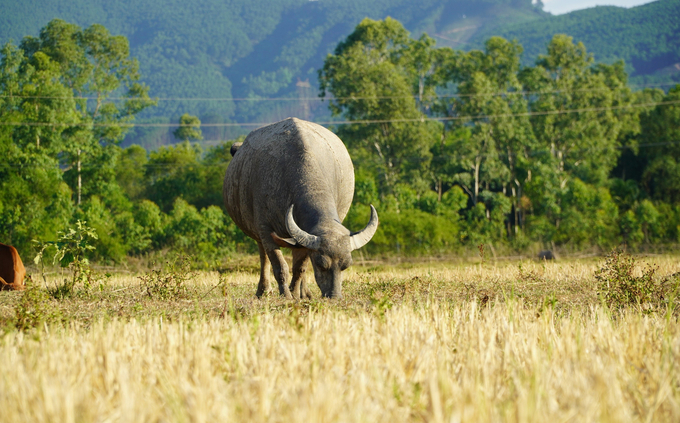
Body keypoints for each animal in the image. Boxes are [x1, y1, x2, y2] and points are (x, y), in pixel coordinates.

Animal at [226, 117, 380, 300]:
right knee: (264, 257)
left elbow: (300, 268)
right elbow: (280, 266)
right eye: (321, 264)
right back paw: (263, 290)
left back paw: (304, 293)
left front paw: (294, 293)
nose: (334, 296)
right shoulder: (265, 229)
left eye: (346, 265)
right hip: (258, 233)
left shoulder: (305, 237)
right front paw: (286, 295)